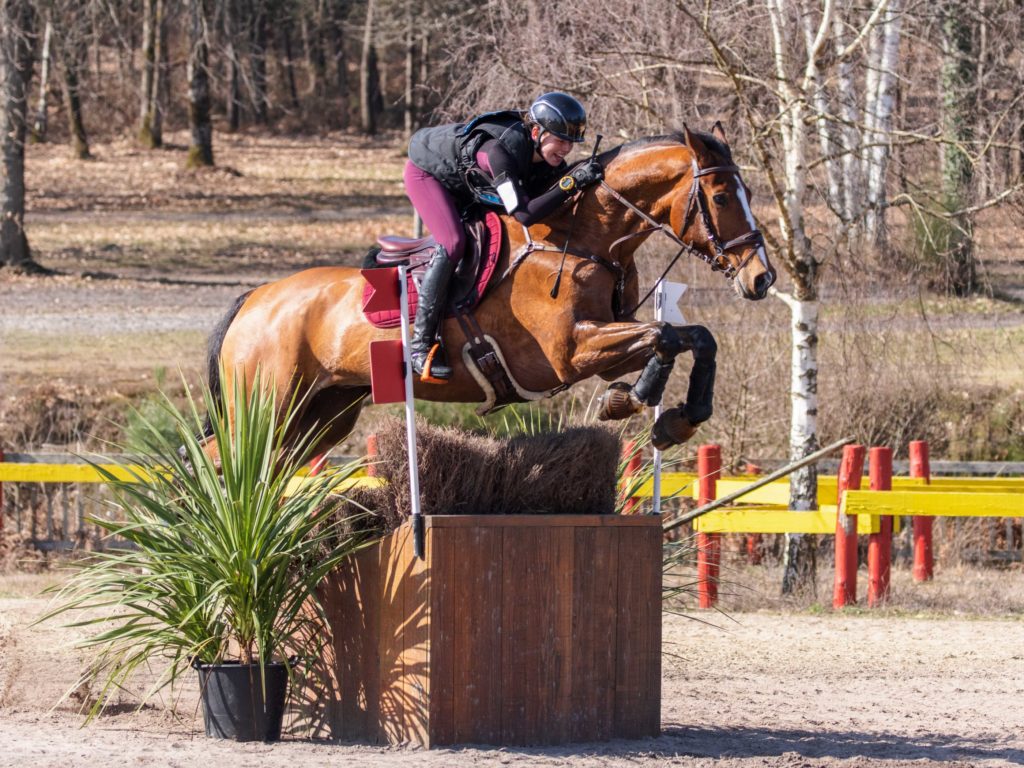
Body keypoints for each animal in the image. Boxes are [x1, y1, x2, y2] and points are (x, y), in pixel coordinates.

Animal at [201, 124, 774, 462]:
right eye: (722, 196)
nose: (761, 278)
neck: (585, 240)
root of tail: (255, 299)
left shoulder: (606, 343)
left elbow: (690, 336)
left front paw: (672, 418)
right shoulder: (568, 353)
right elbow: (665, 334)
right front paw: (636, 398)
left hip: (324, 413)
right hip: (265, 406)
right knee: (221, 460)